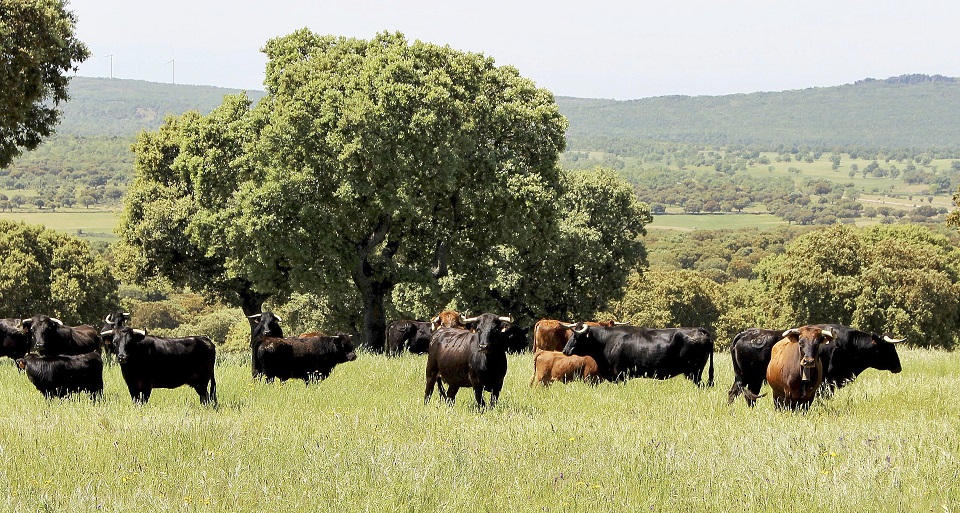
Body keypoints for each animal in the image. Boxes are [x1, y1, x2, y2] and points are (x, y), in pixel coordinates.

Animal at [564, 324, 712, 384]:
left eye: (577, 336)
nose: (565, 350)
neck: (607, 341)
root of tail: (700, 330)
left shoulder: (620, 374)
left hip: (695, 372)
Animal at [728, 324, 908, 404]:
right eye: (888, 348)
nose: (898, 367)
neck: (847, 345)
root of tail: (745, 333)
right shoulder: (826, 383)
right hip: (749, 377)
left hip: (749, 379)